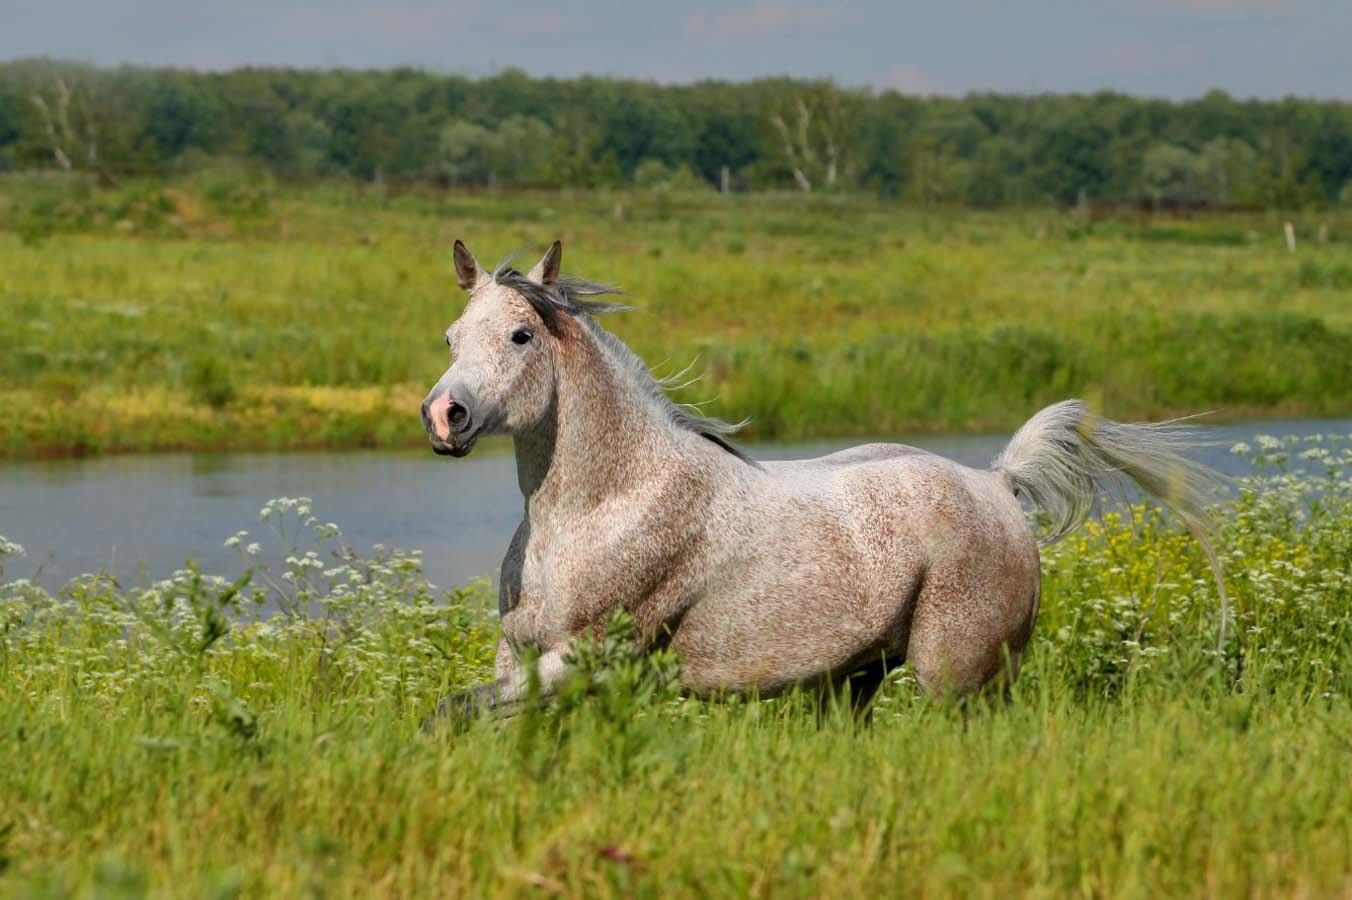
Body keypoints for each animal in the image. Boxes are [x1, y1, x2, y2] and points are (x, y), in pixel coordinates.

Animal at [421, 240, 1225, 722]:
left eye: (521, 334)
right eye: (452, 337)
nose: (443, 416)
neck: (610, 503)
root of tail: (998, 486)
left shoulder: (581, 657)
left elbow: (453, 712)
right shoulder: (522, 654)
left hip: (957, 679)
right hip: (861, 680)